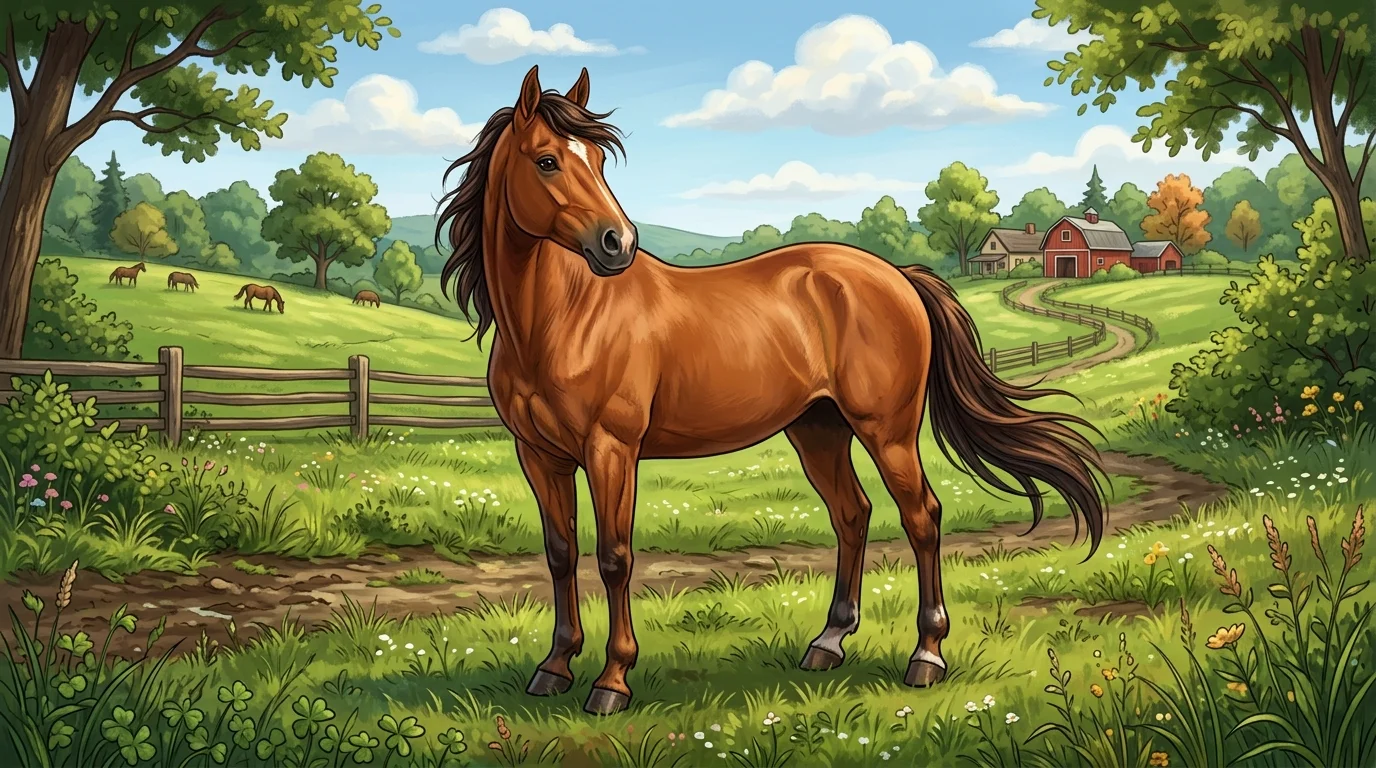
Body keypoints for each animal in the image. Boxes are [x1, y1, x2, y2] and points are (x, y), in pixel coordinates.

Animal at [436, 66, 1107, 716]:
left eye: (599, 161)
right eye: (548, 160)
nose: (616, 244)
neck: (563, 319)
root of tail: (896, 276)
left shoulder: (611, 450)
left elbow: (614, 557)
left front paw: (612, 682)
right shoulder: (540, 456)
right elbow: (559, 553)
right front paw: (554, 668)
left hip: (886, 432)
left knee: (922, 517)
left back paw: (926, 655)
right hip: (819, 430)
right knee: (852, 515)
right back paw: (828, 643)